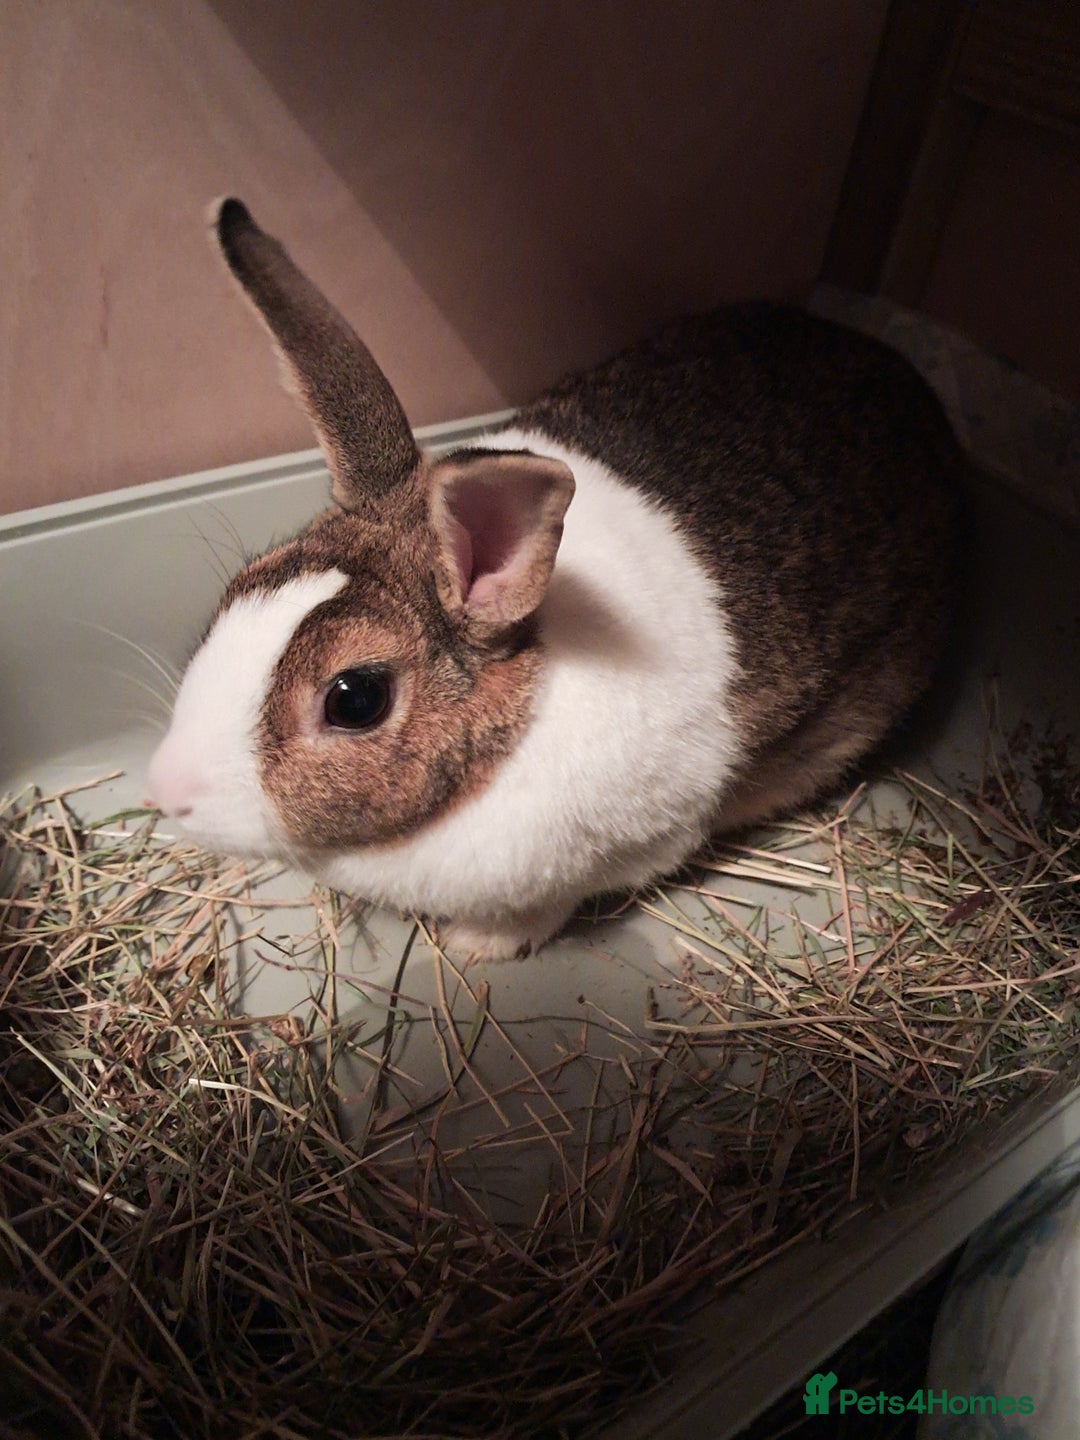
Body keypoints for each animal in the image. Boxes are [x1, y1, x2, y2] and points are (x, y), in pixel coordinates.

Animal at [147, 198, 964, 963]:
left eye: (355, 699)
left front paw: (479, 945)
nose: (167, 790)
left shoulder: (639, 841)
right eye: (241, 589)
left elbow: (553, 905)